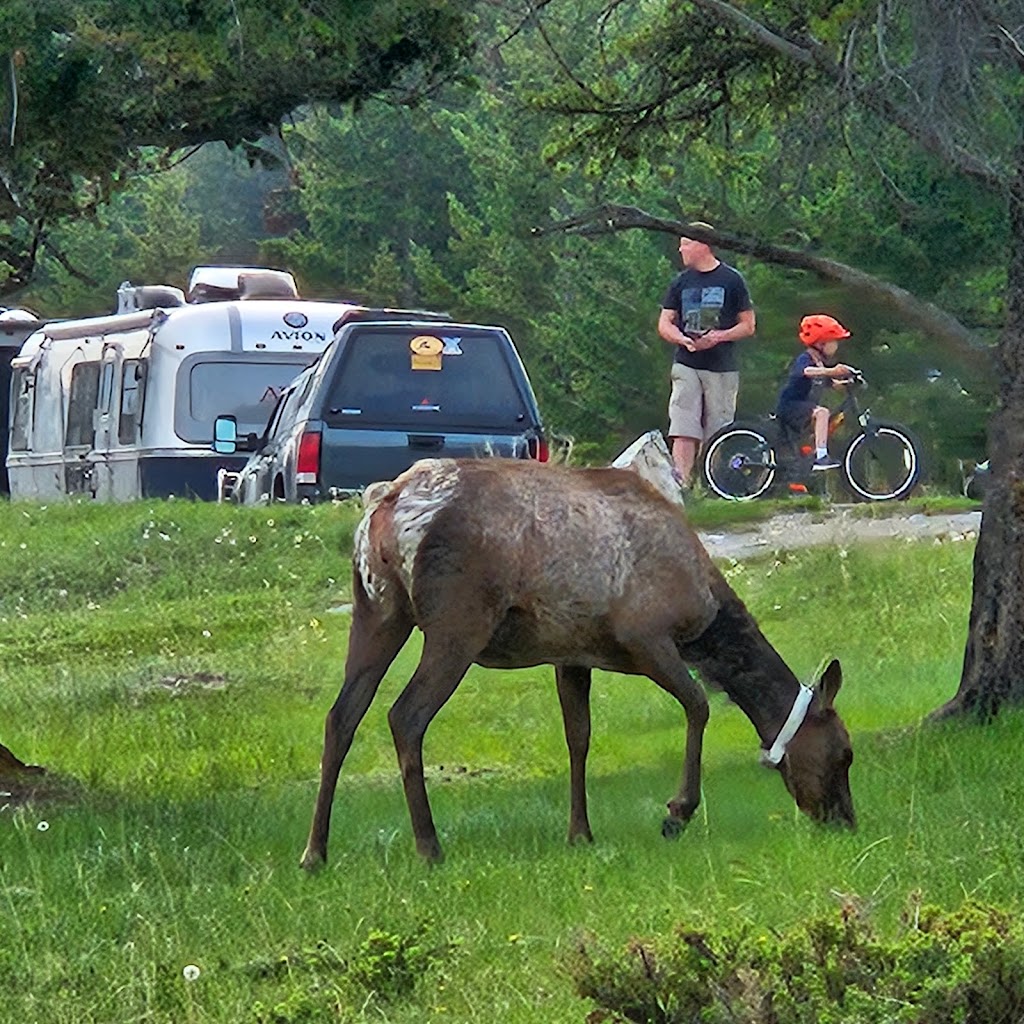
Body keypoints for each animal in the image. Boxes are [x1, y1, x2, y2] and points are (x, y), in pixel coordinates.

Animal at [299, 456, 856, 864]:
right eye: (844, 753)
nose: (845, 821)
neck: (708, 618)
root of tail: (385, 508)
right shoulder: (646, 635)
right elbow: (698, 705)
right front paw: (676, 813)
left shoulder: (572, 655)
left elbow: (579, 738)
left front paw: (580, 833)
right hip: (457, 621)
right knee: (405, 716)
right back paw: (429, 846)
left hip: (378, 610)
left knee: (340, 717)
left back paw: (315, 852)